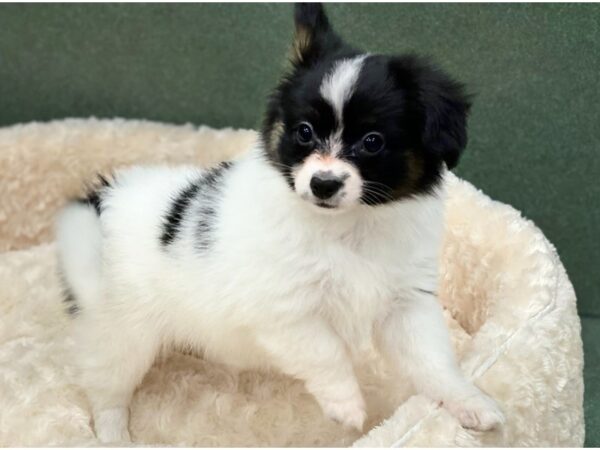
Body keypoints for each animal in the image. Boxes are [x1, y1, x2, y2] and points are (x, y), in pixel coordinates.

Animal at [58, 3, 504, 442]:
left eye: (372, 142)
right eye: (304, 132)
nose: (323, 183)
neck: (348, 227)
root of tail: (101, 198)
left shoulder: (406, 304)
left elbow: (433, 362)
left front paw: (469, 401)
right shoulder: (285, 312)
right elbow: (327, 352)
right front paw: (346, 405)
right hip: (119, 335)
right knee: (107, 392)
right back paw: (115, 434)